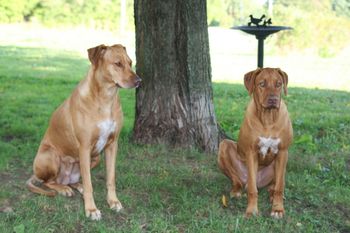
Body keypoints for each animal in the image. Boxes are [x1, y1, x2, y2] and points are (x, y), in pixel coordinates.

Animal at [26, 43, 142, 220]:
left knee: (71, 180)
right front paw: (91, 209)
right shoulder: (85, 147)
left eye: (130, 63)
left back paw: (75, 185)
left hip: (96, 158)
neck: (106, 98)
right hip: (50, 156)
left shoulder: (112, 145)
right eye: (118, 64)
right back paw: (63, 189)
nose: (138, 81)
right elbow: (89, 184)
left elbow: (111, 178)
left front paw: (113, 201)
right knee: (48, 182)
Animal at [219, 67, 292, 218]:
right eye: (262, 84)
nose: (273, 99)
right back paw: (236, 190)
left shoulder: (283, 151)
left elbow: (280, 186)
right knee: (239, 181)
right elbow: (253, 189)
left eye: (279, 84)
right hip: (224, 146)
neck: (268, 118)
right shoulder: (251, 152)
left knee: (276, 183)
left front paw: (277, 209)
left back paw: (272, 194)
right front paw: (251, 210)